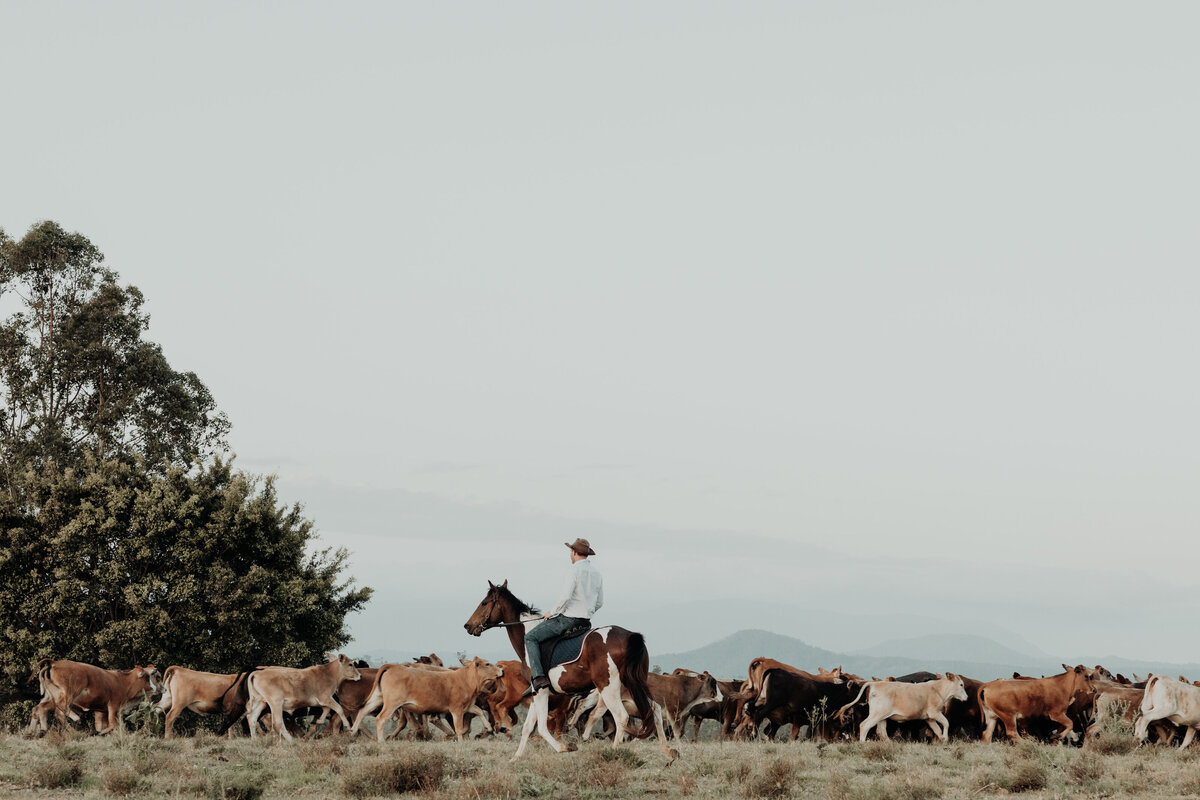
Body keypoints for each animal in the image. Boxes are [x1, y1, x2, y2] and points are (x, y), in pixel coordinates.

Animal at [348, 657, 501, 743]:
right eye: (487, 664)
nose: (501, 670)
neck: (465, 679)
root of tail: (392, 666)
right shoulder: (456, 710)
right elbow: (459, 727)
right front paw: (461, 740)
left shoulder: (468, 706)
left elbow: (479, 711)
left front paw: (488, 727)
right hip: (392, 703)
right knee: (380, 718)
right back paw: (381, 740)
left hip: (378, 698)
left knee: (363, 711)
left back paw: (353, 730)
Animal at [465, 578, 681, 762]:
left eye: (484, 603)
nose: (468, 626)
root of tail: (630, 636)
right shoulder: (536, 692)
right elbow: (527, 727)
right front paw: (516, 758)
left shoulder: (541, 691)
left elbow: (542, 727)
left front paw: (564, 748)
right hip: (633, 683)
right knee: (654, 708)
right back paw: (668, 750)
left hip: (609, 687)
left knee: (621, 716)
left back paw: (613, 754)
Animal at [840, 671, 969, 743]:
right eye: (961, 684)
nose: (966, 698)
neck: (938, 690)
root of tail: (874, 684)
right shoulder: (935, 713)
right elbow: (946, 723)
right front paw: (946, 739)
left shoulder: (929, 718)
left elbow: (937, 729)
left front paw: (942, 739)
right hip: (877, 714)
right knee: (865, 725)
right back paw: (863, 742)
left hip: (882, 717)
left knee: (881, 731)